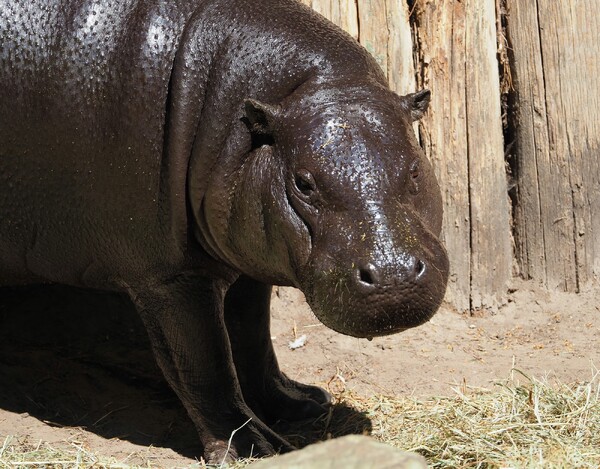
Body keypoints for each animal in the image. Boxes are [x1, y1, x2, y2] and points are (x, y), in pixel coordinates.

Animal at [0, 0, 448, 460]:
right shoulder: (170, 275)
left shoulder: (247, 253)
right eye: (303, 183)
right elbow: (206, 365)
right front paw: (260, 449)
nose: (394, 276)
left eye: (416, 167)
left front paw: (303, 403)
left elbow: (253, 340)